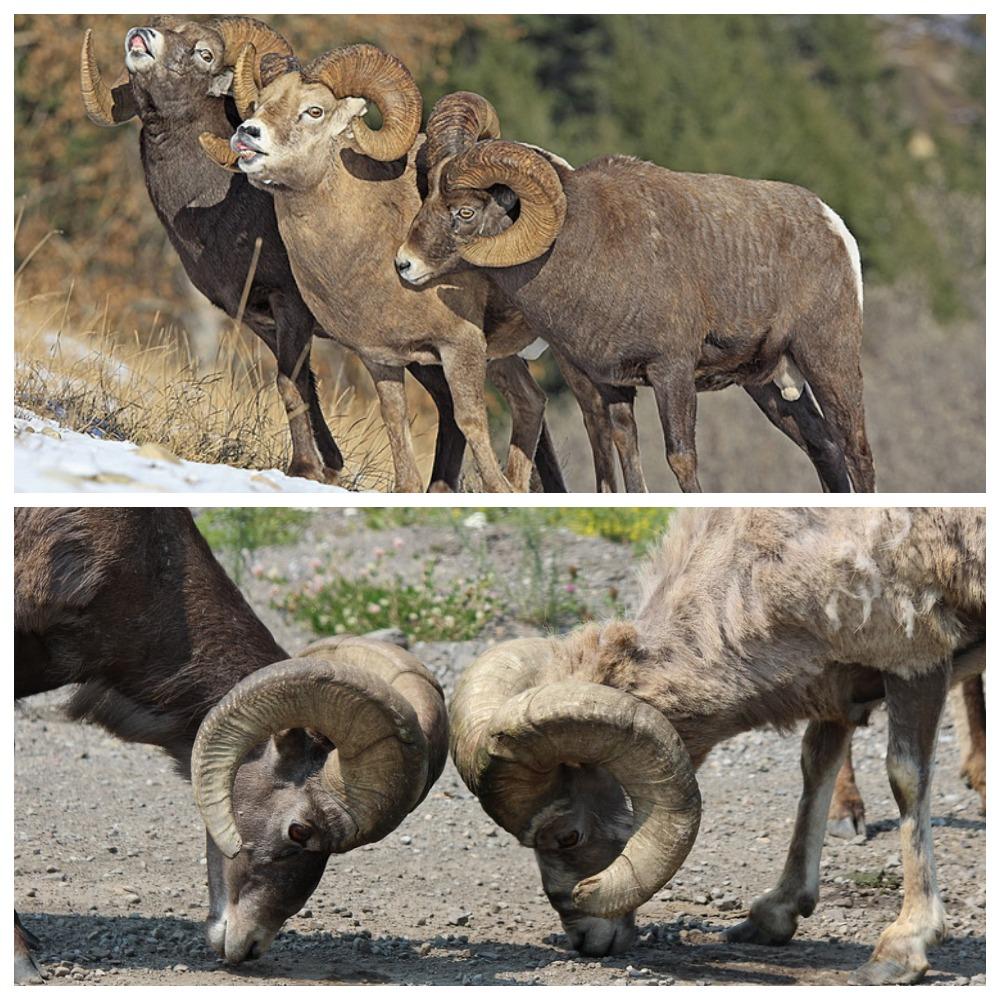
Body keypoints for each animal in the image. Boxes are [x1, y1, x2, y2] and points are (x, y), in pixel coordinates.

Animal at [82, 19, 568, 492]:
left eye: (204, 52)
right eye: (259, 104)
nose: (140, 37)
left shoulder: (294, 309)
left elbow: (291, 383)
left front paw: (305, 470)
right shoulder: (271, 323)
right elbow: (304, 387)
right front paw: (330, 466)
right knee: (522, 405)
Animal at [195, 47, 612, 492]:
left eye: (314, 111)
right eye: (259, 103)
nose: (248, 135)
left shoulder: (459, 347)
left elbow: (469, 420)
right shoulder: (382, 360)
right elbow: (396, 425)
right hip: (502, 358)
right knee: (530, 402)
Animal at [396, 94, 876, 492]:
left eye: (465, 212)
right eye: (427, 193)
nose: (404, 264)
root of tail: (831, 223)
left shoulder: (671, 372)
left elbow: (681, 460)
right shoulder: (614, 387)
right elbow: (627, 454)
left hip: (827, 361)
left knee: (857, 453)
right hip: (768, 386)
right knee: (823, 448)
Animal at [454, 508, 984, 984]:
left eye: (567, 836)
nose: (584, 939)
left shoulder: (915, 656)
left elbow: (907, 780)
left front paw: (900, 952)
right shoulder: (839, 682)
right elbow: (816, 767)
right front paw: (773, 915)